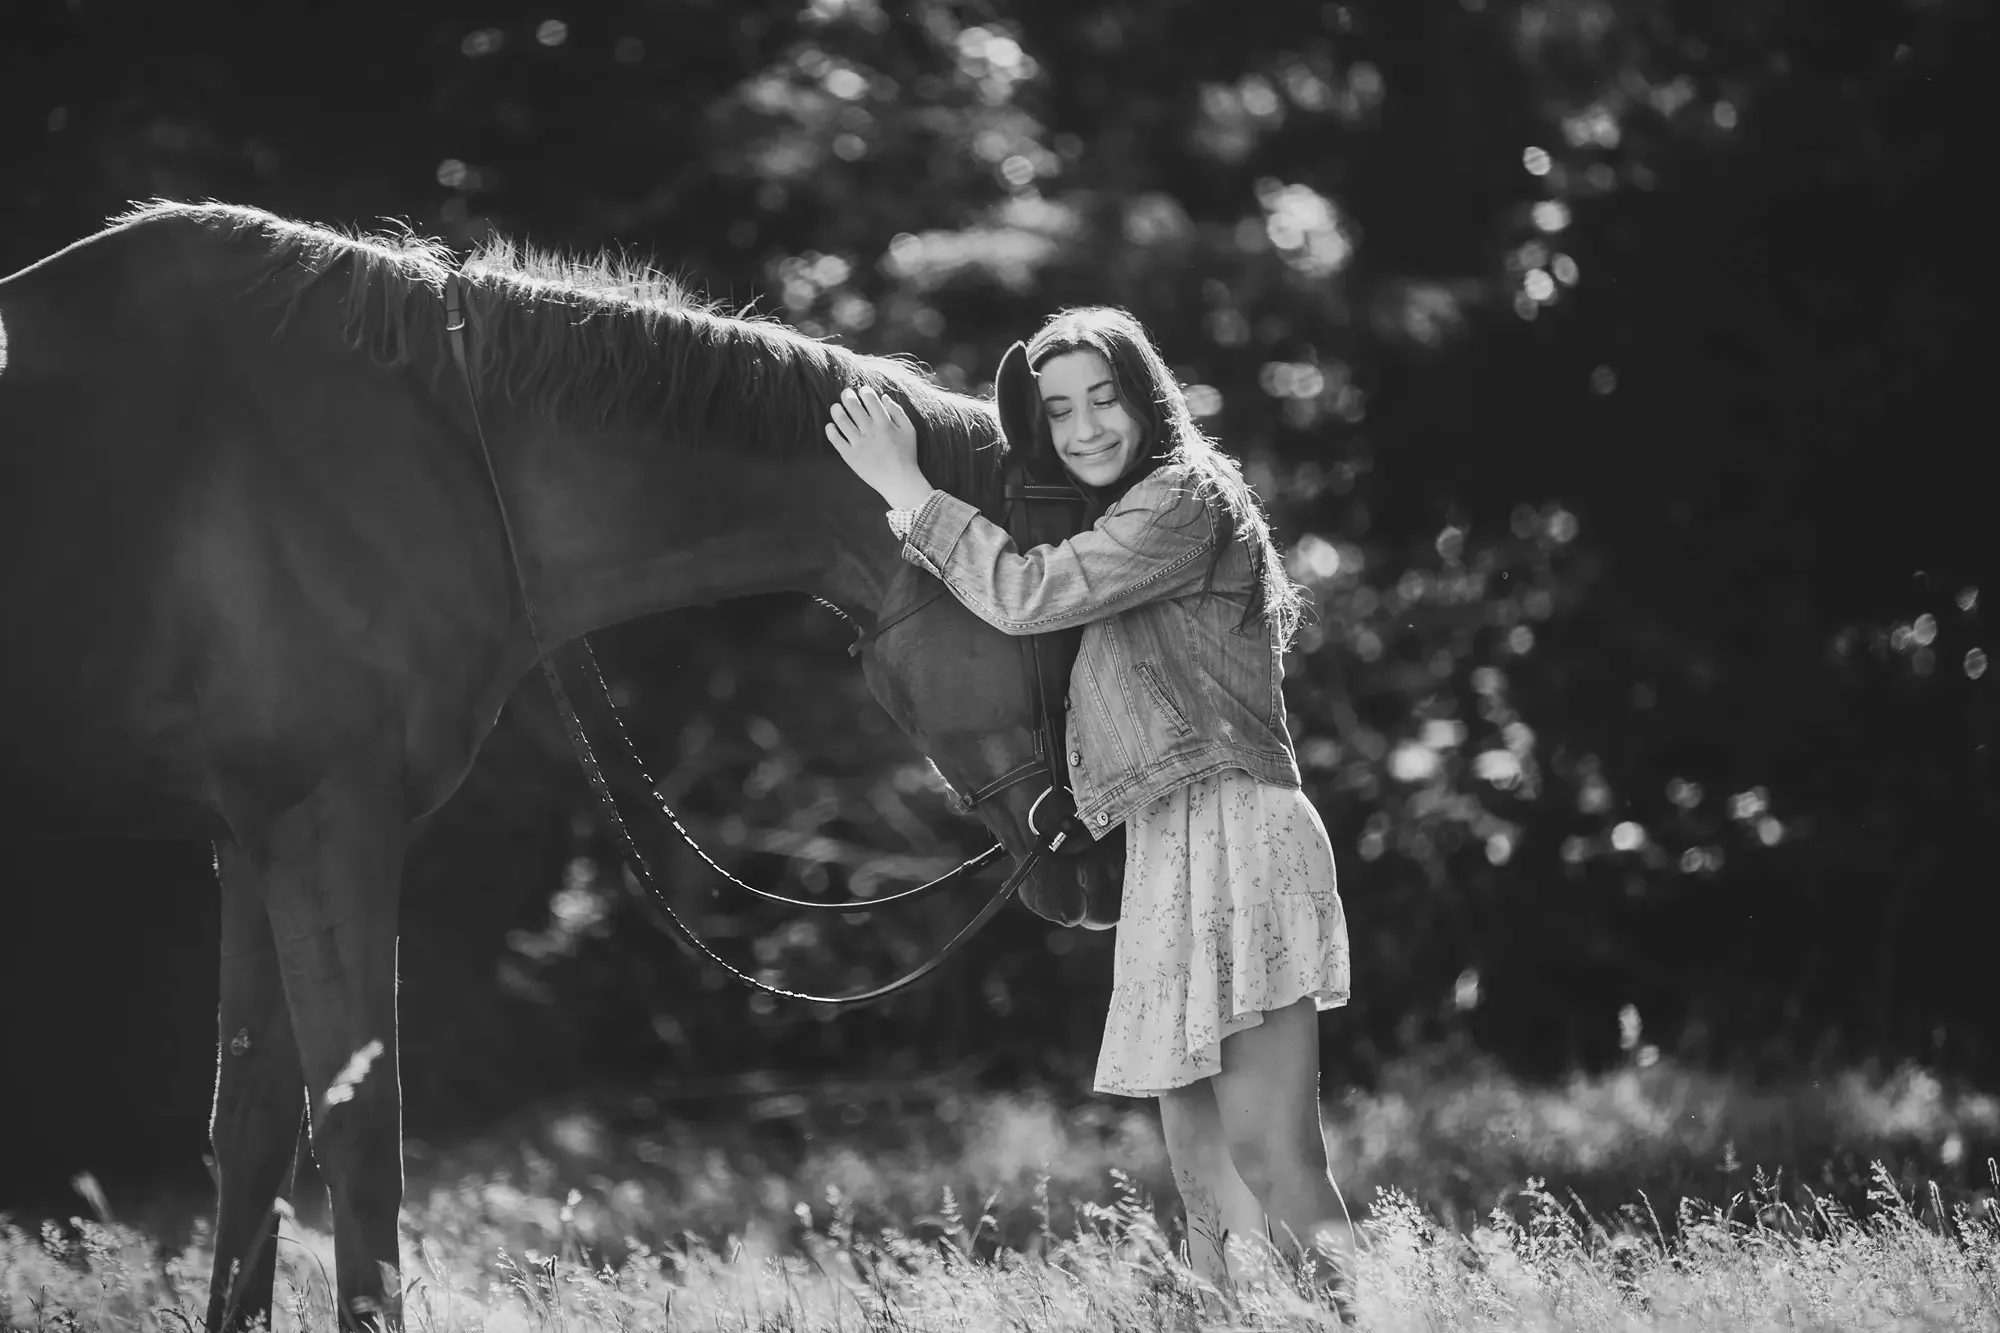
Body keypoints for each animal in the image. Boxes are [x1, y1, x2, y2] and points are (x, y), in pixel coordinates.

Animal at [0, 200, 1123, 1330]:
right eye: (1062, 606)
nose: (1109, 862)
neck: (427, 451)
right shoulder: (327, 825)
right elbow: (360, 1135)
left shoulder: (251, 840)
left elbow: (253, 1134)